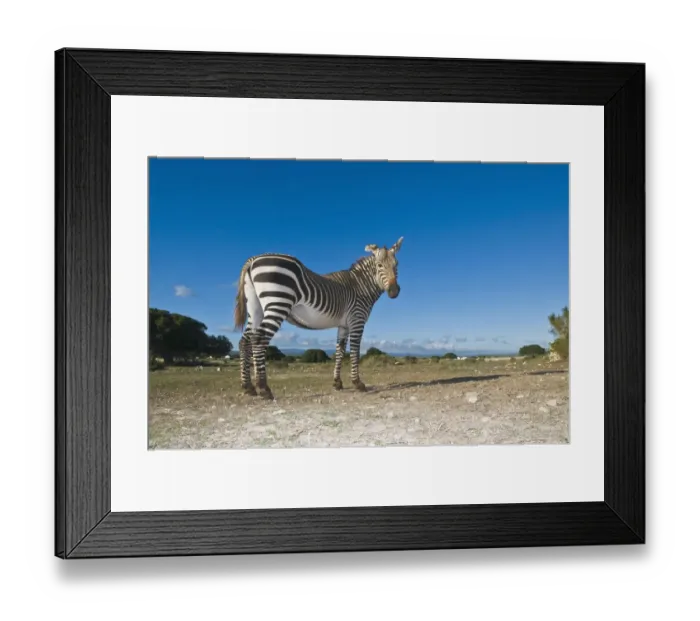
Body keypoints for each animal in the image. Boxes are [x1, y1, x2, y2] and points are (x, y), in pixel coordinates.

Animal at [233, 237, 404, 400]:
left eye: (396, 265)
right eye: (379, 265)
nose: (394, 291)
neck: (361, 286)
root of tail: (253, 259)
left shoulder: (343, 325)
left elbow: (340, 351)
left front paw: (337, 383)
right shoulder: (357, 320)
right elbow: (355, 351)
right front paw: (358, 383)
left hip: (255, 309)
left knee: (245, 342)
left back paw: (248, 387)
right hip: (278, 303)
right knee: (259, 339)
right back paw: (264, 389)